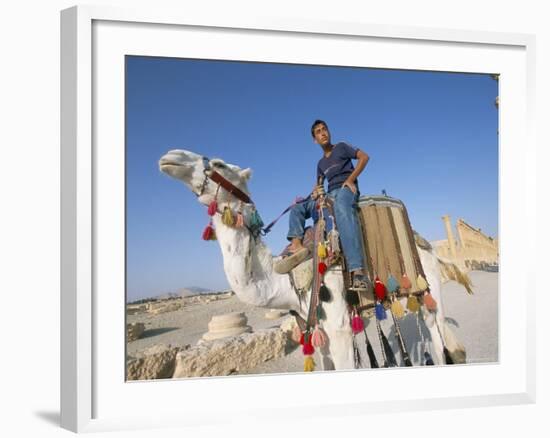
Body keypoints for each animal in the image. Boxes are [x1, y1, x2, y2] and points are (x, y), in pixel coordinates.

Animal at [160, 148, 470, 370]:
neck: (286, 280)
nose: (170, 157)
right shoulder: (317, 333)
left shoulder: (340, 329)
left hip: (429, 288)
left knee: (440, 341)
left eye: (220, 164)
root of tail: (427, 245)